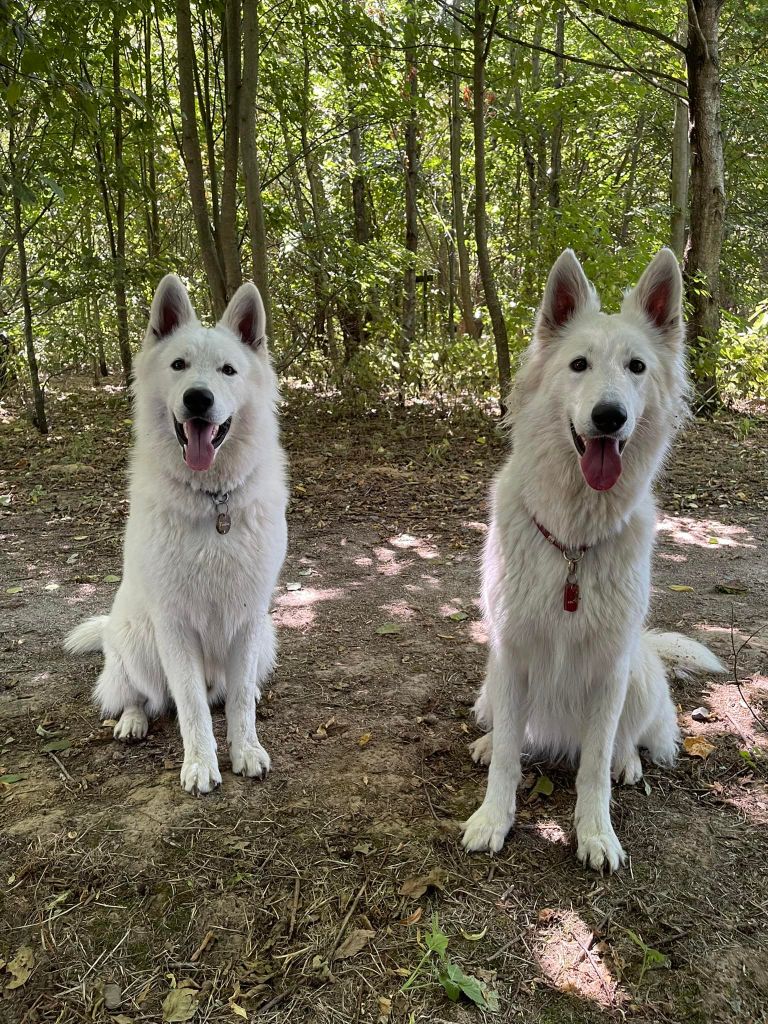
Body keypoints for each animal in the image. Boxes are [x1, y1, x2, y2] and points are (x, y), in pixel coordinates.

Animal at [65, 276, 288, 794]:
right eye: (178, 365)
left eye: (228, 370)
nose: (198, 399)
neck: (213, 500)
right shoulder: (175, 626)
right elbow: (189, 705)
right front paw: (202, 763)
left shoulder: (249, 618)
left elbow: (239, 700)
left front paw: (246, 749)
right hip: (136, 642)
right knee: (138, 694)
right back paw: (131, 721)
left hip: (266, 637)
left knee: (228, 691)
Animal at [462, 251, 729, 868]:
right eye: (578, 365)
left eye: (637, 367)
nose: (610, 417)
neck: (573, 547)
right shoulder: (512, 653)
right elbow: (509, 754)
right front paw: (493, 817)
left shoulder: (609, 668)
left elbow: (594, 764)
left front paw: (595, 833)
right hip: (491, 678)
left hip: (637, 671)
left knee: (629, 739)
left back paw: (627, 762)